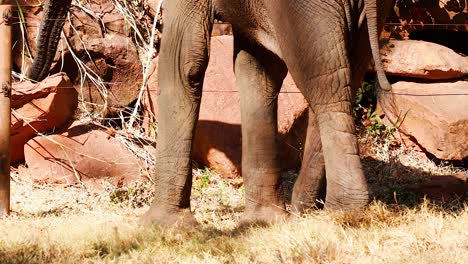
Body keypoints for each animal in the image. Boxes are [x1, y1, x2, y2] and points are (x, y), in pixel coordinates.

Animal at [27, 0, 394, 227]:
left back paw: (344, 214)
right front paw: (263, 222)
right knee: (345, 77)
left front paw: (160, 227)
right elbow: (255, 67)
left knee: (325, 83)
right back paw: (303, 212)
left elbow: (182, 59)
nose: (34, 77)